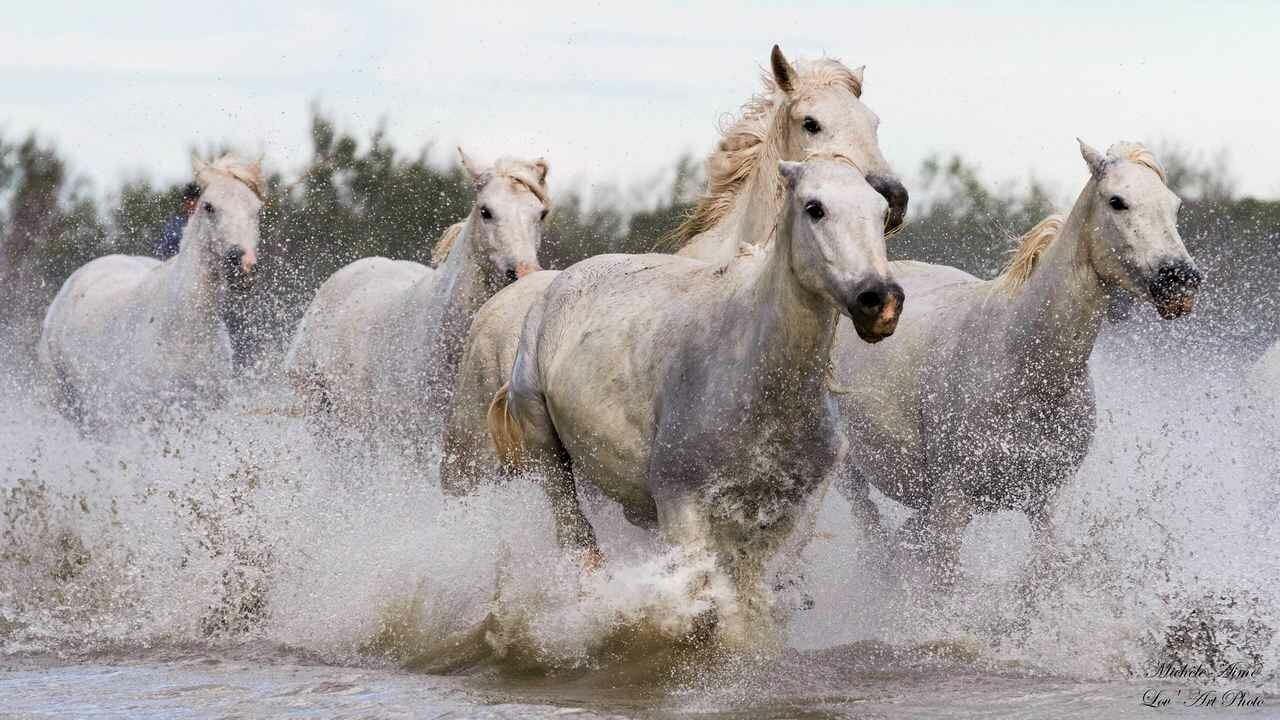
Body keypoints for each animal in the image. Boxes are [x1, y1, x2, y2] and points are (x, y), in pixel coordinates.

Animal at [488, 161, 901, 645]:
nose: (880, 300)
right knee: (579, 542)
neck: (760, 384)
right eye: (814, 208)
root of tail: (556, 287)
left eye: (880, 211)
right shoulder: (681, 507)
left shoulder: (785, 518)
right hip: (550, 459)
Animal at [829, 141, 1198, 584]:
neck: (1021, 364)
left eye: (1175, 206)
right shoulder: (952, 502)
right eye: (1117, 201)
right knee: (869, 526)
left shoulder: (1043, 502)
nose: (1179, 279)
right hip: (851, 471)